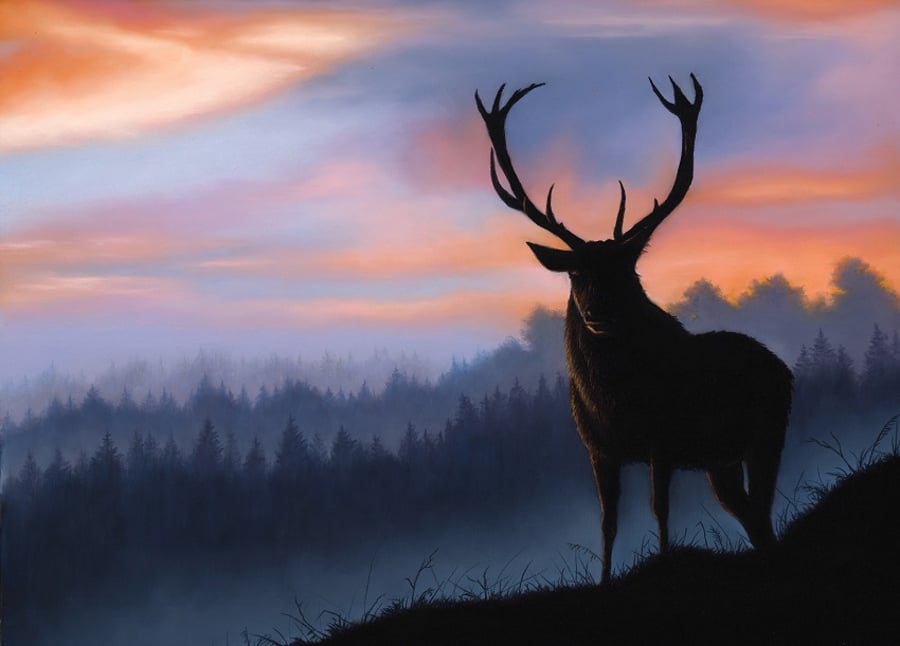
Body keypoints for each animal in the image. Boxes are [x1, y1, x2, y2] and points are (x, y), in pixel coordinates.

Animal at [476, 74, 793, 583]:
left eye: (625, 269)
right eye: (576, 272)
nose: (598, 312)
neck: (616, 406)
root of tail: (783, 367)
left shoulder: (662, 438)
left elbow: (660, 509)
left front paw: (664, 561)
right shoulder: (597, 448)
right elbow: (608, 521)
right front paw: (604, 577)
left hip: (768, 431)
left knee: (762, 508)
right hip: (719, 462)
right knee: (752, 517)